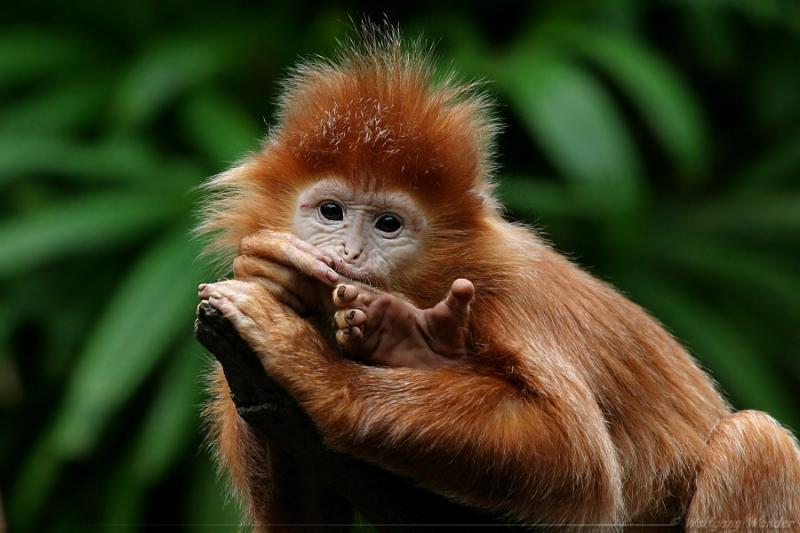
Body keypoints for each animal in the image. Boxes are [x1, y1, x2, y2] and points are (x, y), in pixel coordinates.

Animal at [194, 26, 800, 532]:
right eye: (331, 212)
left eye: (388, 224)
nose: (349, 252)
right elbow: (300, 518)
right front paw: (268, 270)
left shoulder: (511, 295)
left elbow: (574, 456)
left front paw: (312, 363)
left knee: (755, 443)